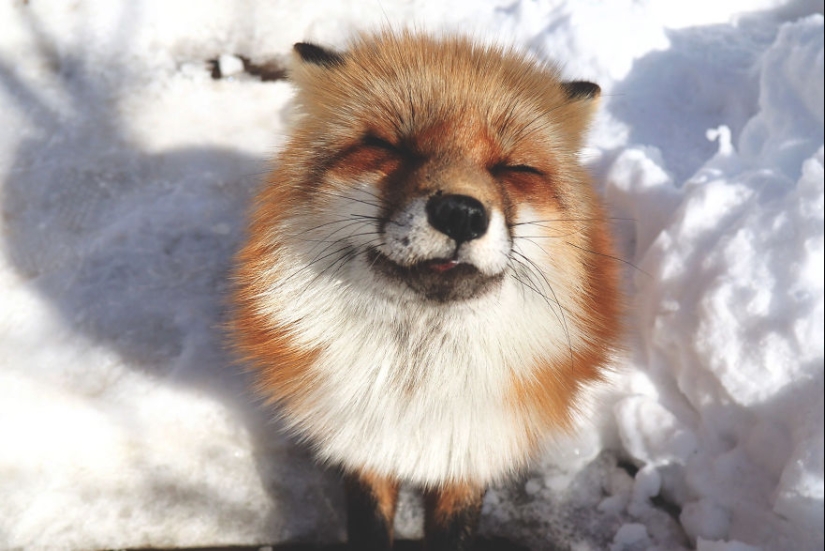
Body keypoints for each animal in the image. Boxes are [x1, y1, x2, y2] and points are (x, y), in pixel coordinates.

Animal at [230, 31, 622, 551]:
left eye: (515, 168)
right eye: (389, 146)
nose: (461, 213)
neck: (417, 390)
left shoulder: (471, 457)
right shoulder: (363, 447)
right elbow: (370, 525)